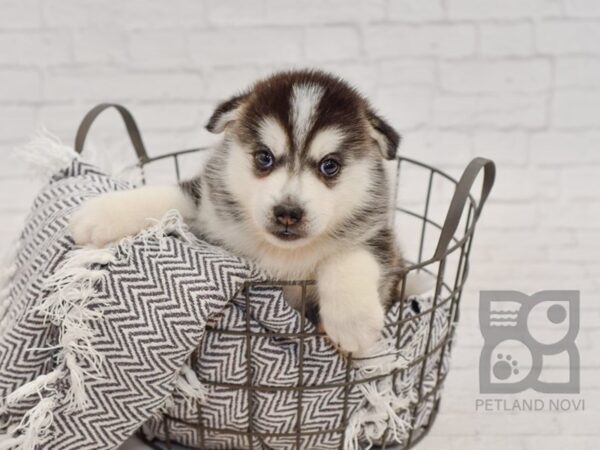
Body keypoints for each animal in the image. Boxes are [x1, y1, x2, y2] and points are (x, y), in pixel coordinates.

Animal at [70, 69, 404, 356]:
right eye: (264, 157)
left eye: (330, 165)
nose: (287, 212)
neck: (284, 253)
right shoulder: (206, 206)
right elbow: (171, 196)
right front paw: (100, 213)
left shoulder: (379, 235)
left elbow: (349, 255)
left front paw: (353, 321)